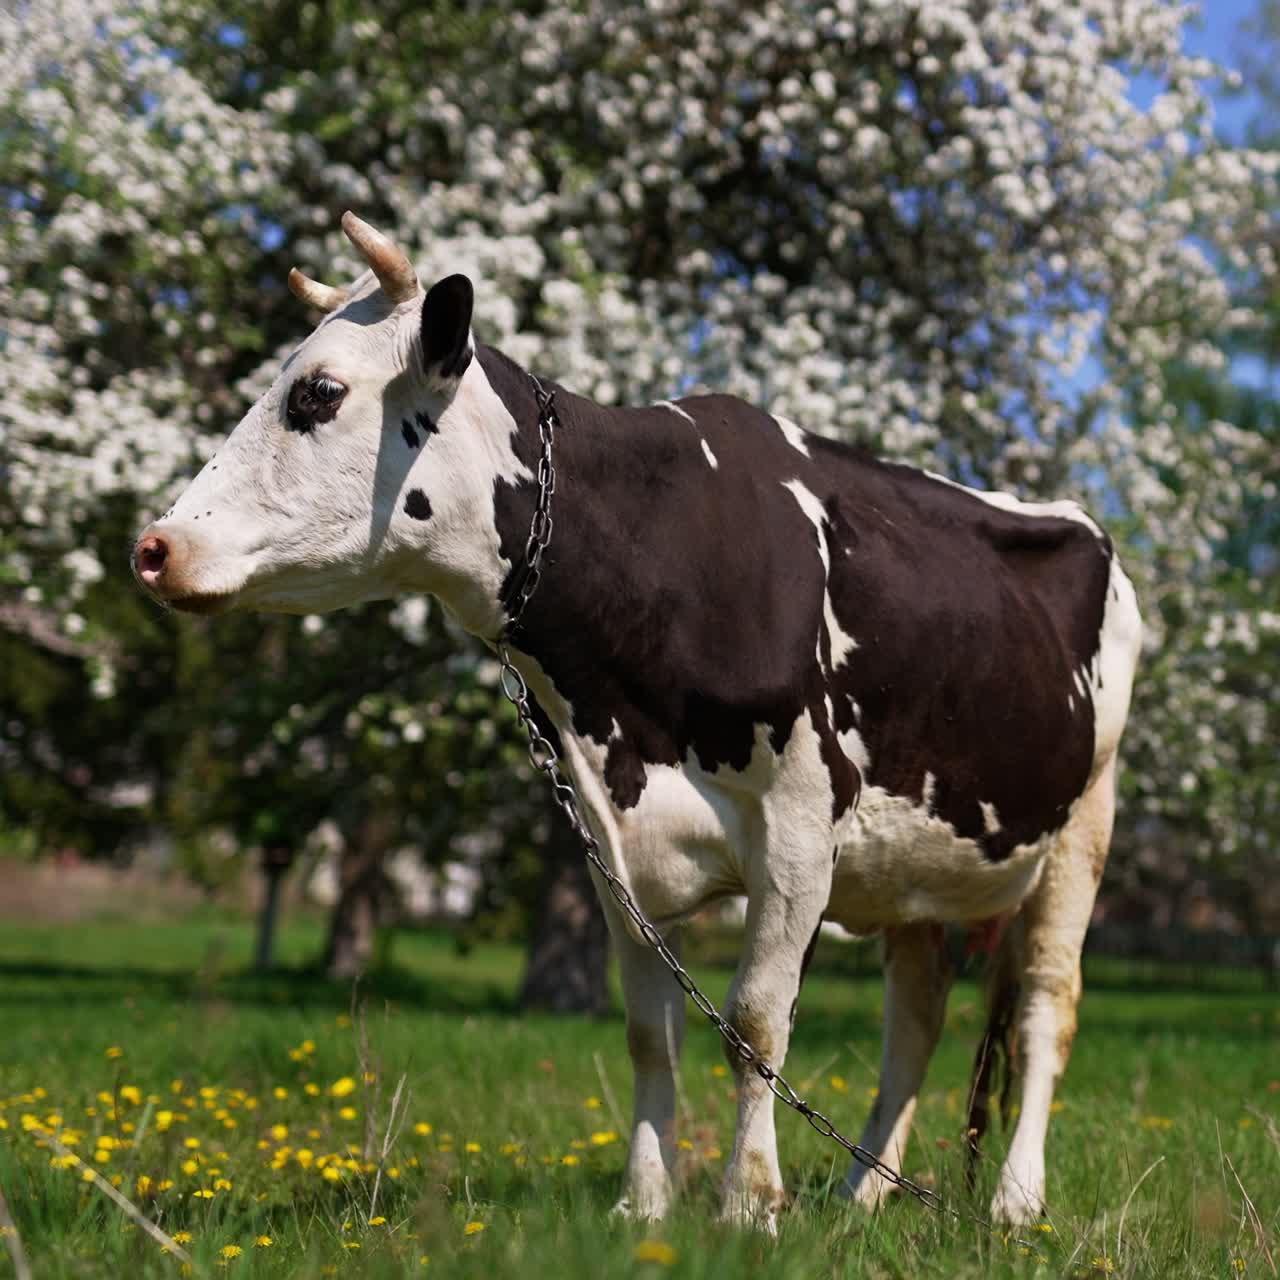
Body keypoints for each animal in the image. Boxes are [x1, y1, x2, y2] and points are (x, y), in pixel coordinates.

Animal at [133, 213, 1142, 1233]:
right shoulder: (613, 843)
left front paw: (748, 1203)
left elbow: (754, 1025)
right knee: (918, 1014)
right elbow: (650, 1034)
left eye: (320, 392)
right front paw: (644, 1205)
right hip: (918, 865)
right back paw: (864, 1194)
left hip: (1082, 826)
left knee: (1046, 1009)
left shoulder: (799, 829)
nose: (153, 547)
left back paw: (1015, 1200)